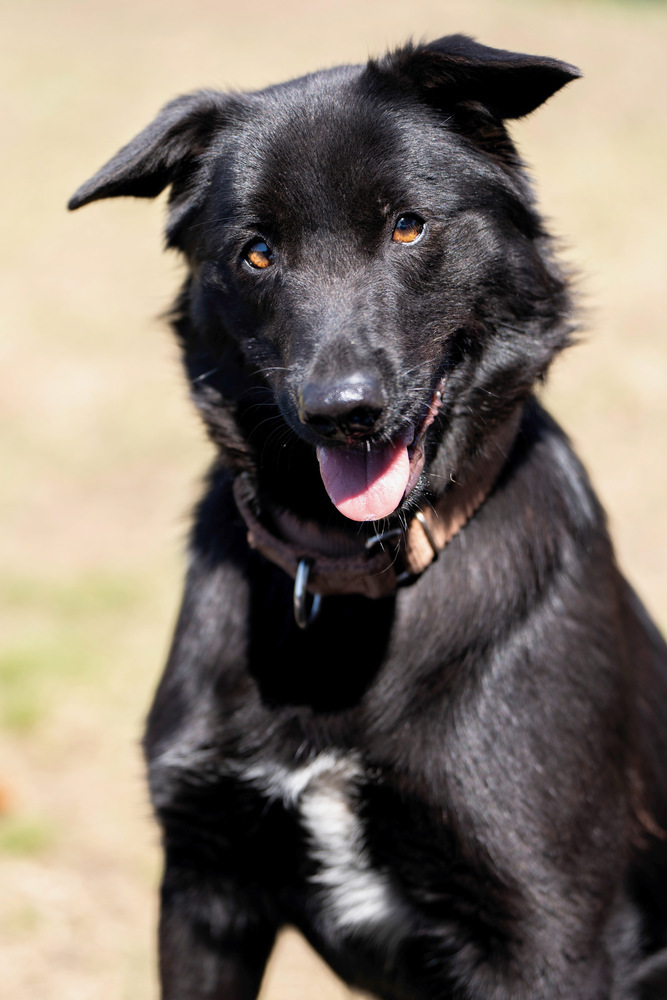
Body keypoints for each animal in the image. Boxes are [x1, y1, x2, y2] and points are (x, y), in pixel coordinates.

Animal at [68, 33, 667, 1000]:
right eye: (257, 252)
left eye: (408, 227)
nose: (341, 411)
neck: (348, 573)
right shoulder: (204, 890)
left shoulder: (550, 936)